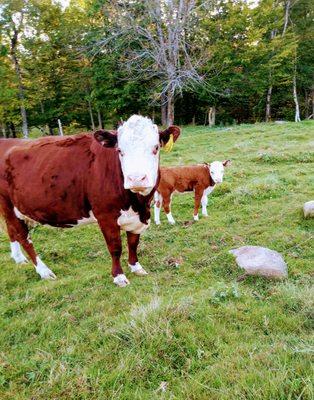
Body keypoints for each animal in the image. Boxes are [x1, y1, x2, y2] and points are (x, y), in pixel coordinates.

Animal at [0, 115, 180, 288]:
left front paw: (136, 267)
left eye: (155, 148)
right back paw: (44, 271)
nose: (136, 179)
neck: (138, 203)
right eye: (120, 150)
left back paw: (19, 259)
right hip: (8, 206)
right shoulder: (105, 216)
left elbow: (133, 242)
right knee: (23, 237)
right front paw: (119, 277)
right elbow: (115, 247)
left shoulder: (138, 217)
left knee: (11, 231)